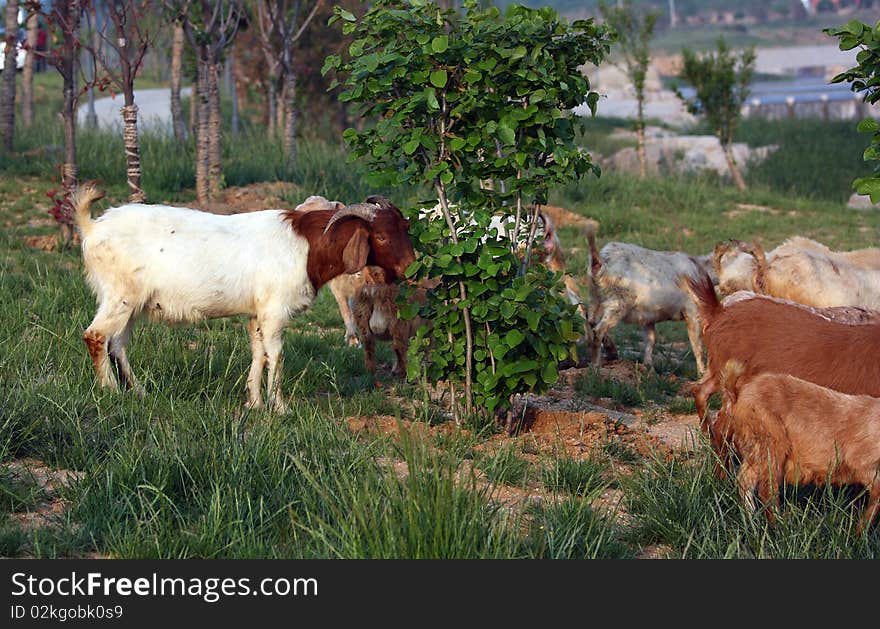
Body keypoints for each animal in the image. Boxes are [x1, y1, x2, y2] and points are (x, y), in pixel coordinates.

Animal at [716, 358, 880, 528]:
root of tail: (737, 394)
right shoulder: (859, 461)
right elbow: (877, 490)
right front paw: (861, 529)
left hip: (755, 450)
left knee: (744, 480)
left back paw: (751, 520)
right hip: (770, 444)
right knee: (767, 489)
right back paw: (777, 524)